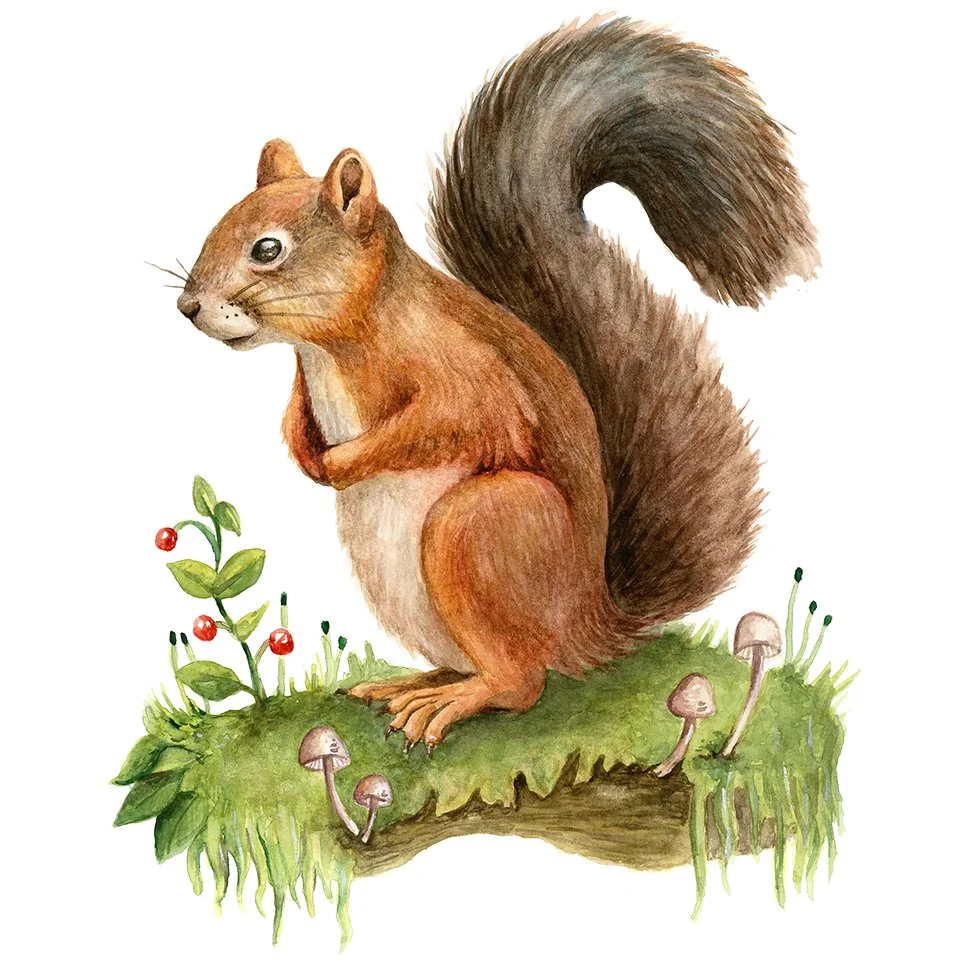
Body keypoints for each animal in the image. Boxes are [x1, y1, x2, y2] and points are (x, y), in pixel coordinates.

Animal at [176, 17, 817, 752]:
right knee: (477, 665)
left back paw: (450, 702)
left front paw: (343, 461)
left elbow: (453, 418)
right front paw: (305, 450)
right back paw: (411, 683)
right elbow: (293, 416)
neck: (326, 349)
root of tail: (589, 625)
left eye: (268, 250)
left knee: (521, 682)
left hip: (479, 526)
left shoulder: (462, 370)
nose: (188, 306)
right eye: (218, 225)